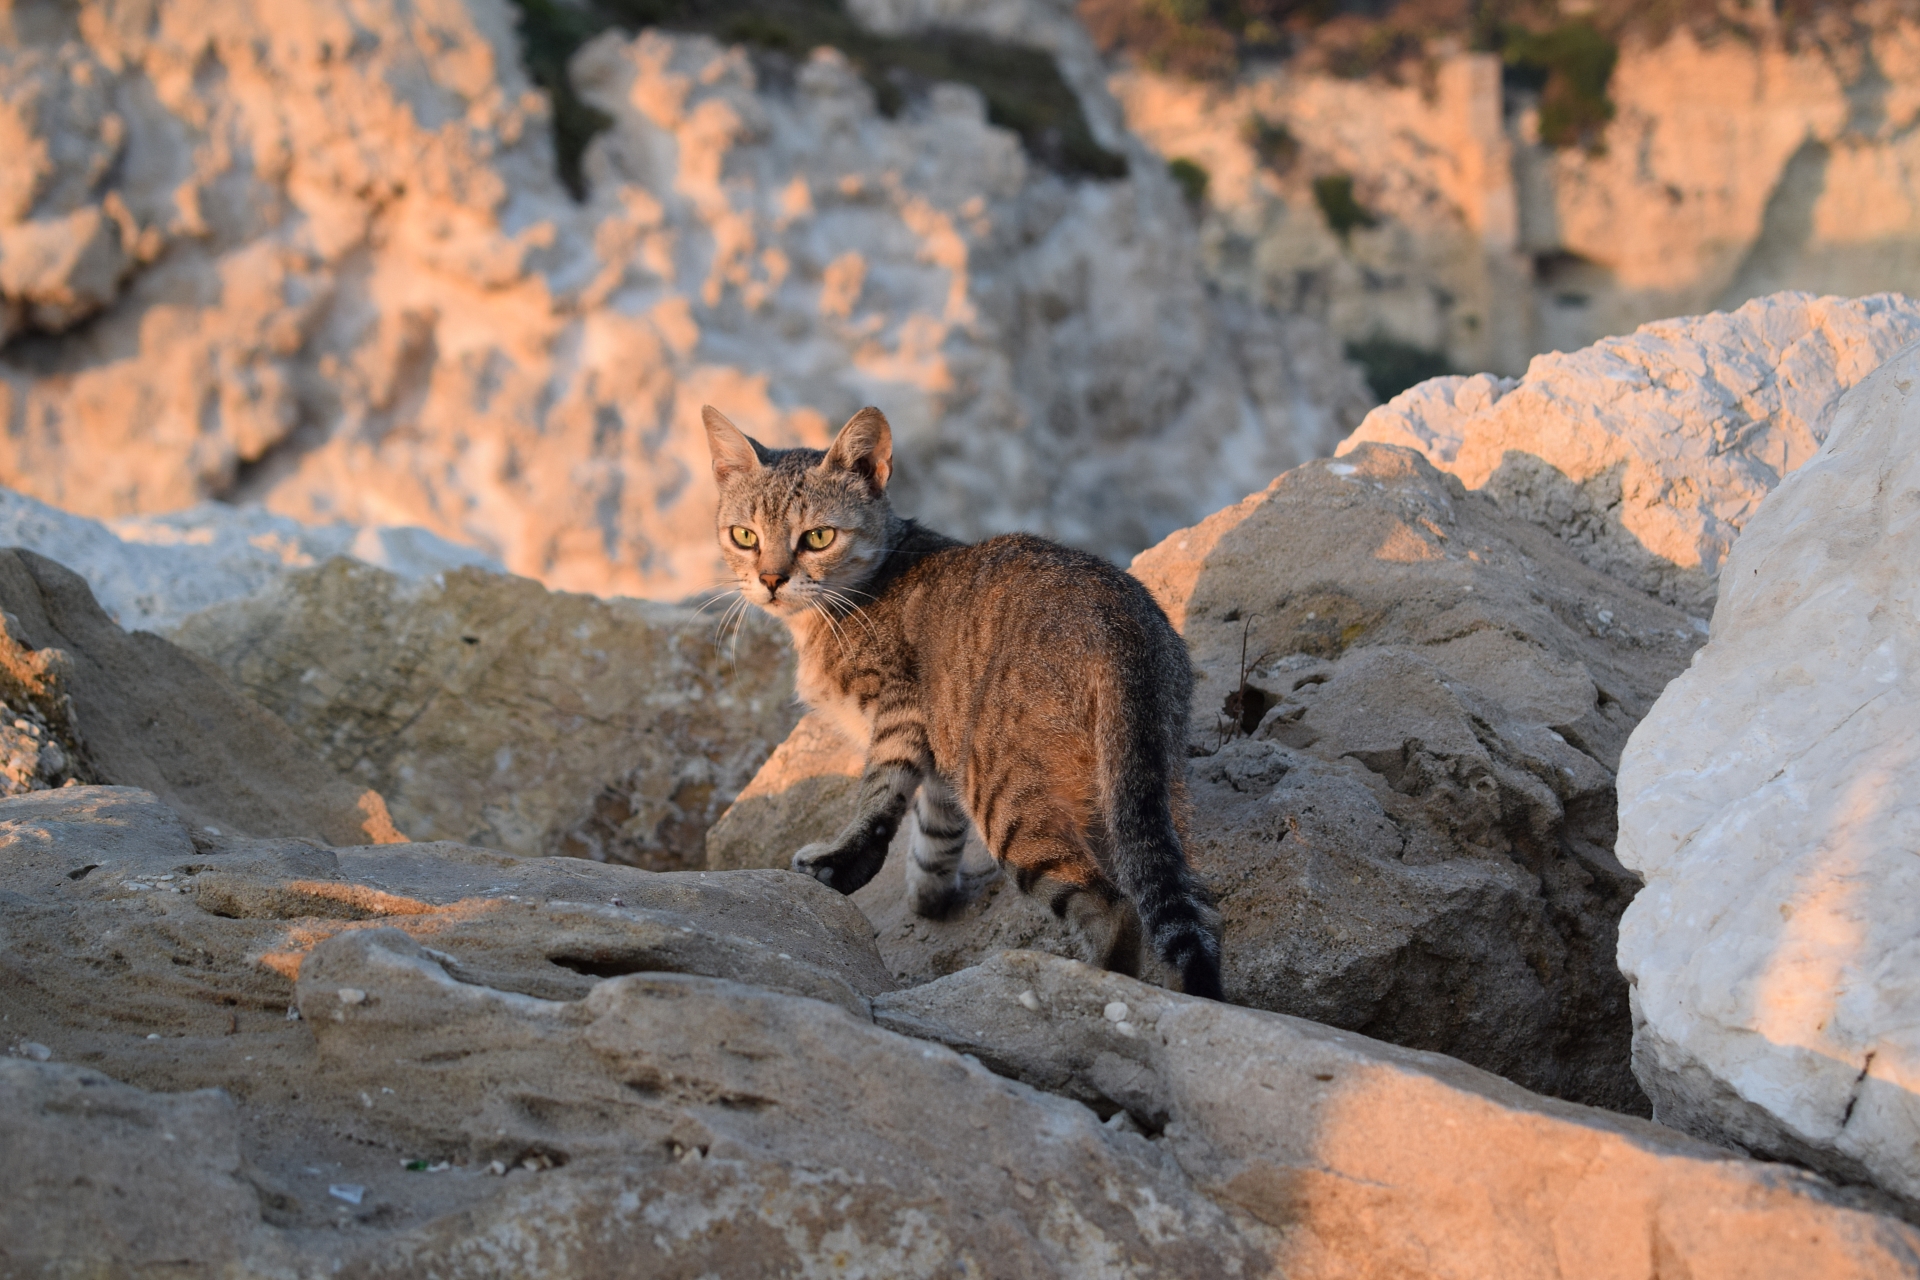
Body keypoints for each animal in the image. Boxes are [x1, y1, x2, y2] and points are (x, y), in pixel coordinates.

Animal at [710, 402, 1228, 997]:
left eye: (818, 537)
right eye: (744, 535)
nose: (771, 579)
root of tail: (1120, 626)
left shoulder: (902, 710)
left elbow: (879, 796)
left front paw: (841, 862)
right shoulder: (942, 750)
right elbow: (934, 831)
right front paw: (930, 895)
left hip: (1004, 791)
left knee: (1111, 904)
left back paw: (1093, 978)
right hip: (1151, 789)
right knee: (1191, 902)